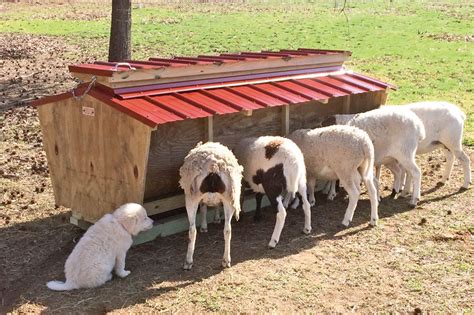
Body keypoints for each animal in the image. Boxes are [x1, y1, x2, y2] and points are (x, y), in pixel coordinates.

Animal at [179, 142, 243, 270]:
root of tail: (214, 165)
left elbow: (203, 208)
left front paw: (204, 227)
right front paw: (216, 218)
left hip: (191, 197)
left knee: (192, 230)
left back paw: (188, 262)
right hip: (228, 197)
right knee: (228, 229)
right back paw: (226, 260)